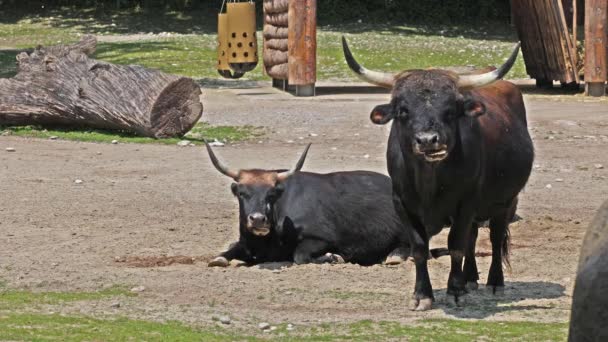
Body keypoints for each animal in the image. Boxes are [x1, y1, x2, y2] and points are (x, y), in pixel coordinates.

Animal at [204, 144, 418, 268]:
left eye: (271, 194)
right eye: (242, 193)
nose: (258, 219)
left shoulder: (322, 238)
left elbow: (300, 255)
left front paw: (332, 257)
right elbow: (224, 254)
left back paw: (394, 256)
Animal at [344, 37, 536, 310]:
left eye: (451, 110)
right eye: (403, 110)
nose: (428, 141)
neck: (429, 183)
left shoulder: (466, 203)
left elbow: (455, 245)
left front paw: (454, 291)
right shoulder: (403, 205)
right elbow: (420, 249)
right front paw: (422, 295)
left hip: (506, 201)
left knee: (495, 237)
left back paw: (493, 282)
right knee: (472, 237)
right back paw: (470, 279)